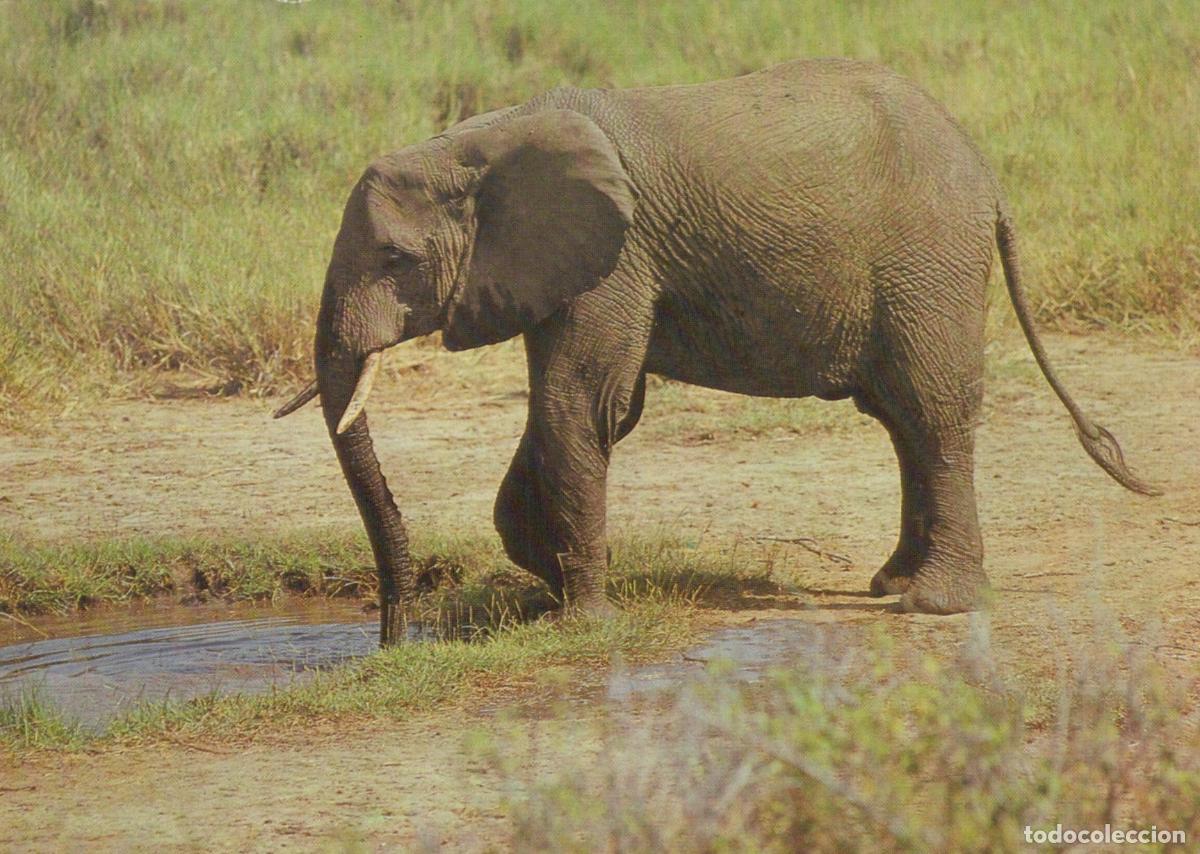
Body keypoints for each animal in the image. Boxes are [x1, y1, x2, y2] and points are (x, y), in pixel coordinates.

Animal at [275, 59, 1157, 645]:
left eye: (395, 260)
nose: (390, 642)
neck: (478, 138)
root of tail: (988, 176)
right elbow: (584, 406)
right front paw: (548, 582)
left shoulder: (617, 259)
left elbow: (578, 403)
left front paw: (580, 619)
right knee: (902, 419)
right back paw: (892, 582)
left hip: (929, 263)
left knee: (933, 413)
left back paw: (934, 605)